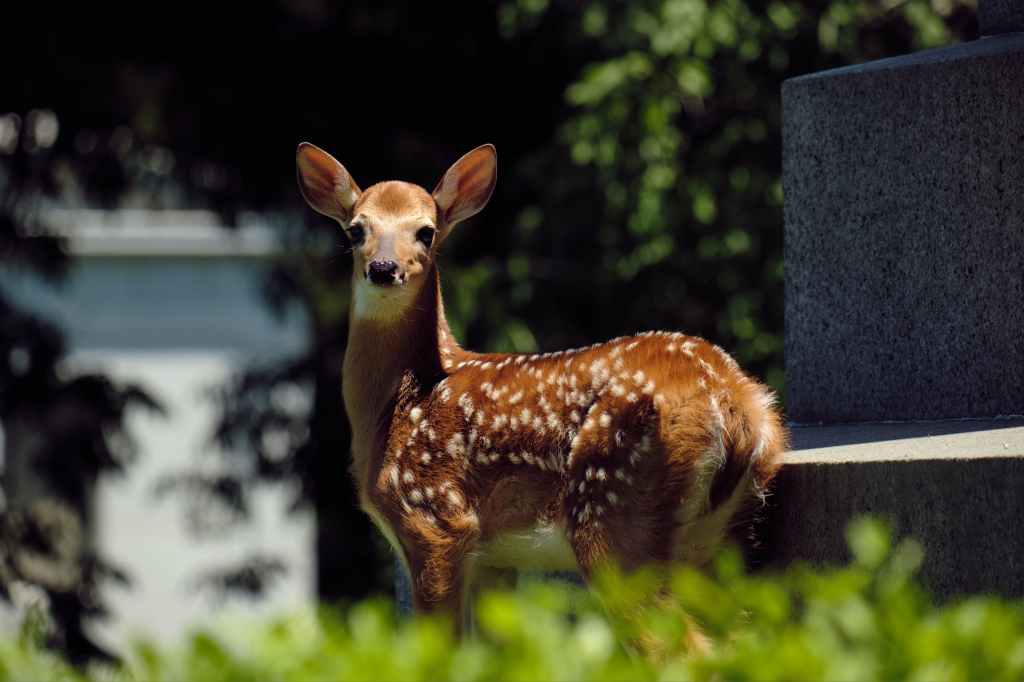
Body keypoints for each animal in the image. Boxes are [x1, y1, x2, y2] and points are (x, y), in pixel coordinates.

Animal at [299, 140, 786, 630]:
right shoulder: (495, 557)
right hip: (717, 536)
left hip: (613, 510)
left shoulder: (434, 519)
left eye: (426, 232)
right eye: (357, 230)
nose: (384, 268)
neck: (398, 403)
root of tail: (736, 403)